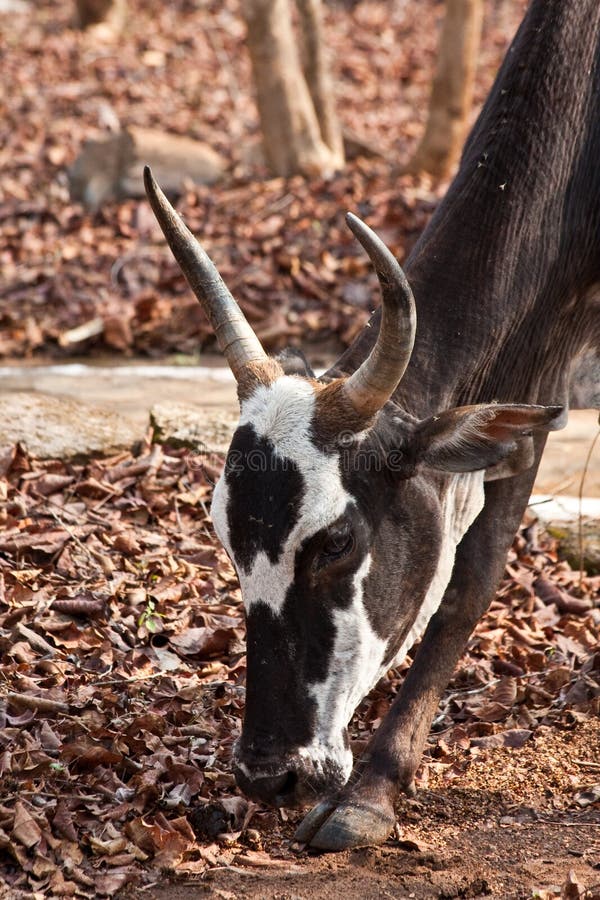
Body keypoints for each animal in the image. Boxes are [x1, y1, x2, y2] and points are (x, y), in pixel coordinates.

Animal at [142, 0, 600, 852]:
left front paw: (374, 788)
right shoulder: (537, 355)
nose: (268, 773)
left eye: (336, 540)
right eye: (225, 536)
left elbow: (473, 575)